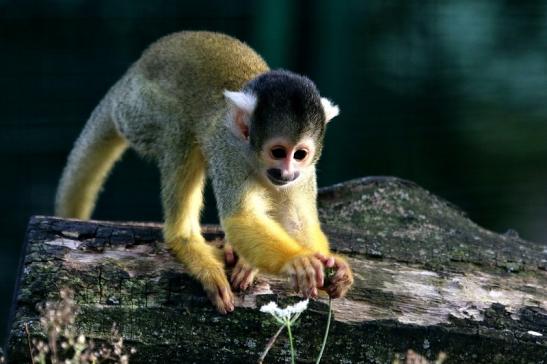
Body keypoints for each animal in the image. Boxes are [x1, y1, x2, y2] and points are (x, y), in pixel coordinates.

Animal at [55, 31, 356, 312]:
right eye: (278, 152)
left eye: (300, 154)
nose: (286, 173)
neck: (253, 157)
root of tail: (127, 79)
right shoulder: (229, 153)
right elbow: (240, 218)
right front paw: (296, 259)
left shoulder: (306, 173)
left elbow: (298, 220)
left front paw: (334, 265)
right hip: (140, 111)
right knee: (180, 131)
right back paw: (185, 241)